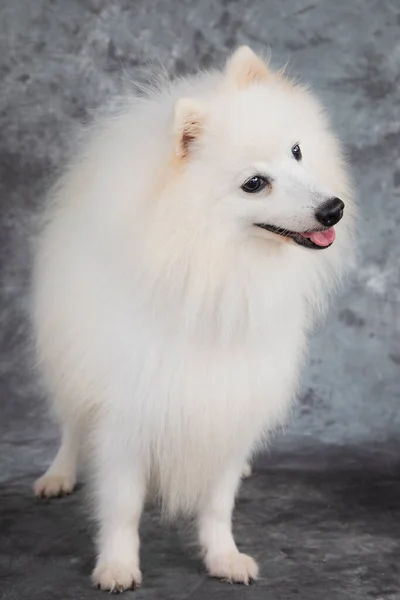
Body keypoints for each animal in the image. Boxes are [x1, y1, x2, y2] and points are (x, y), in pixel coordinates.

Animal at [32, 47, 354, 592]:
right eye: (254, 184)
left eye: (296, 151)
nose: (333, 208)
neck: (215, 273)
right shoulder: (127, 411)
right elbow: (122, 505)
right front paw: (117, 565)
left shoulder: (229, 403)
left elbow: (217, 503)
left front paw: (224, 557)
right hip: (68, 361)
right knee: (72, 424)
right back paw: (59, 474)